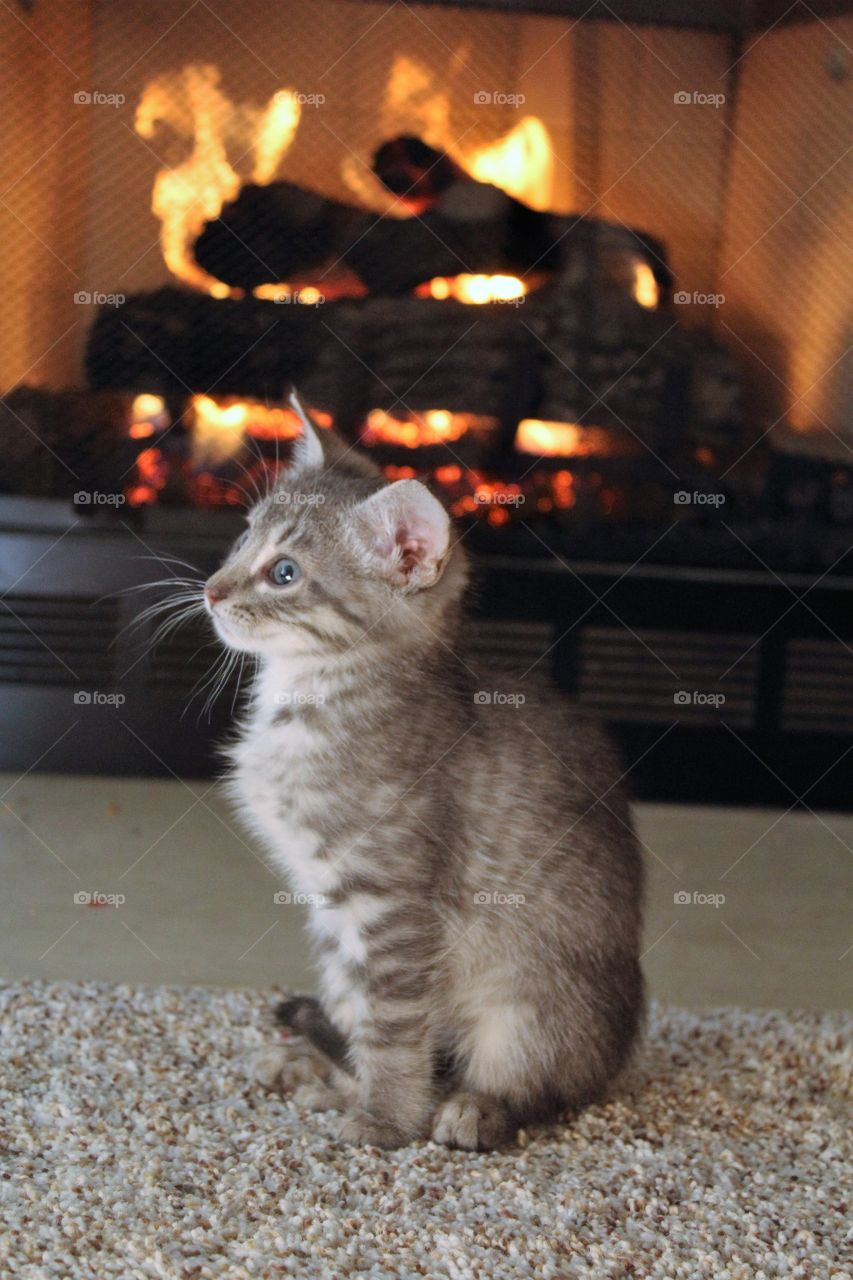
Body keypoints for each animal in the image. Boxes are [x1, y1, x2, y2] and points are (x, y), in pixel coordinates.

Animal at [206, 396, 640, 1152]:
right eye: (242, 538)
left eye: (284, 573)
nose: (209, 591)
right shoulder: (332, 908)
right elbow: (356, 1008)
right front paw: (348, 1082)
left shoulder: (392, 900)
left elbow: (392, 1022)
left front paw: (387, 1118)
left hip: (528, 997)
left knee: (549, 1083)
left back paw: (477, 1107)